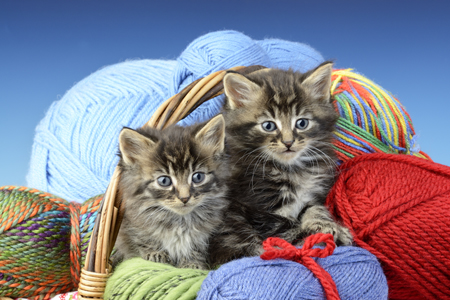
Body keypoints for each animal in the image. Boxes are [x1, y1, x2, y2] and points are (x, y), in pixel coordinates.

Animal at [112, 115, 229, 270]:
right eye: (164, 181)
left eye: (198, 177)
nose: (184, 198)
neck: (179, 221)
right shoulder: (132, 225)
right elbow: (144, 240)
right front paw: (155, 253)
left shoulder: (207, 233)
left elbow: (196, 249)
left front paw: (192, 264)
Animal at [221, 62, 352, 245]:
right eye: (268, 126)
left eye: (302, 123)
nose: (288, 142)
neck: (290, 169)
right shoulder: (262, 215)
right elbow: (292, 231)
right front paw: (332, 234)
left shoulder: (313, 196)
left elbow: (314, 207)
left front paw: (326, 225)